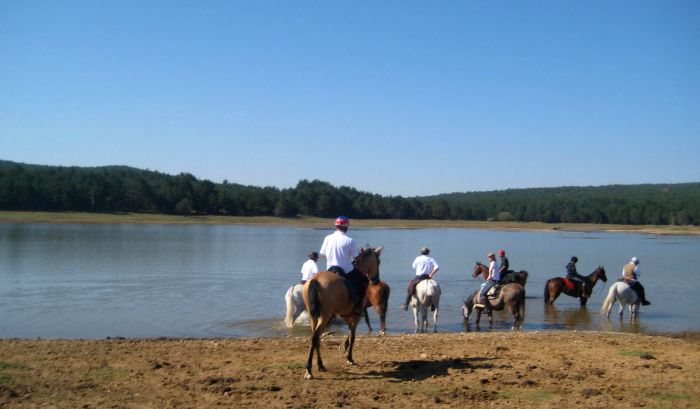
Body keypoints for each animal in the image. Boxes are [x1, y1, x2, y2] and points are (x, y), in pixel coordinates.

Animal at [300, 244, 382, 378]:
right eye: (378, 261)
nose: (376, 280)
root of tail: (315, 280)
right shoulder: (356, 315)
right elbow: (352, 335)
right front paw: (349, 357)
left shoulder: (345, 315)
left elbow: (349, 332)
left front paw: (344, 347)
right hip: (325, 316)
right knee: (315, 337)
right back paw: (309, 370)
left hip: (314, 316)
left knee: (316, 338)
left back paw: (320, 365)